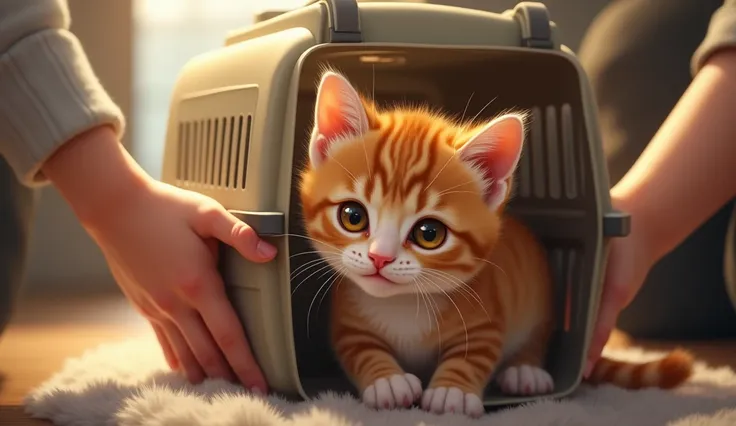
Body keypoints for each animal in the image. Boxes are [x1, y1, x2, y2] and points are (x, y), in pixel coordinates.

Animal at [296, 70, 692, 416]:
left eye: (429, 234)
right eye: (353, 216)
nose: (380, 257)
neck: (403, 304)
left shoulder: (488, 315)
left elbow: (473, 353)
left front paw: (451, 392)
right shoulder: (346, 322)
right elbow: (361, 348)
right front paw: (387, 381)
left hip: (538, 299)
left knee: (535, 339)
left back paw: (524, 370)